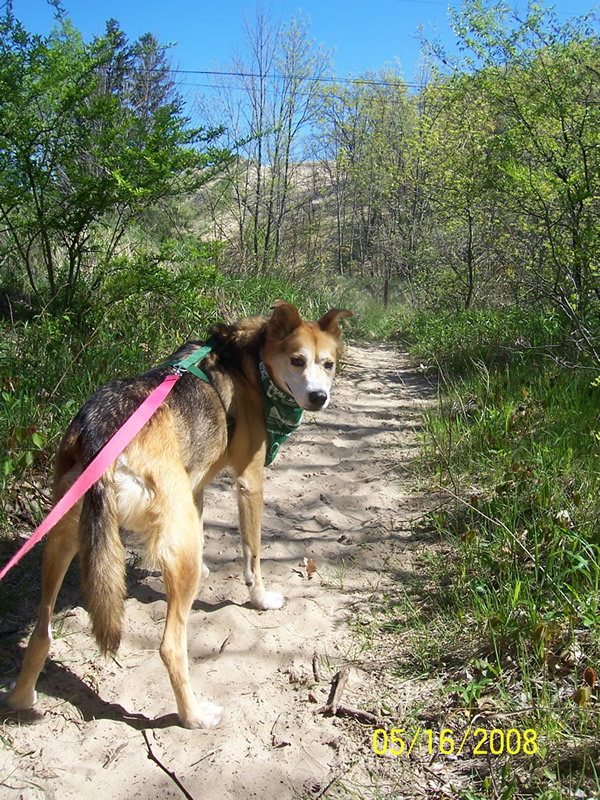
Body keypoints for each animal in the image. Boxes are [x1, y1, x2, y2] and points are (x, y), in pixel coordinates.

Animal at [5, 304, 352, 728]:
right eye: (297, 360)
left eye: (328, 364)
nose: (319, 397)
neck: (247, 361)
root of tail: (101, 432)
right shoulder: (250, 482)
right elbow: (252, 554)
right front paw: (260, 597)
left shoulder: (196, 487)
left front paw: (208, 569)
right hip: (172, 536)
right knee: (170, 647)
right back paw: (194, 716)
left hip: (61, 539)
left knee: (41, 632)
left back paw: (20, 699)